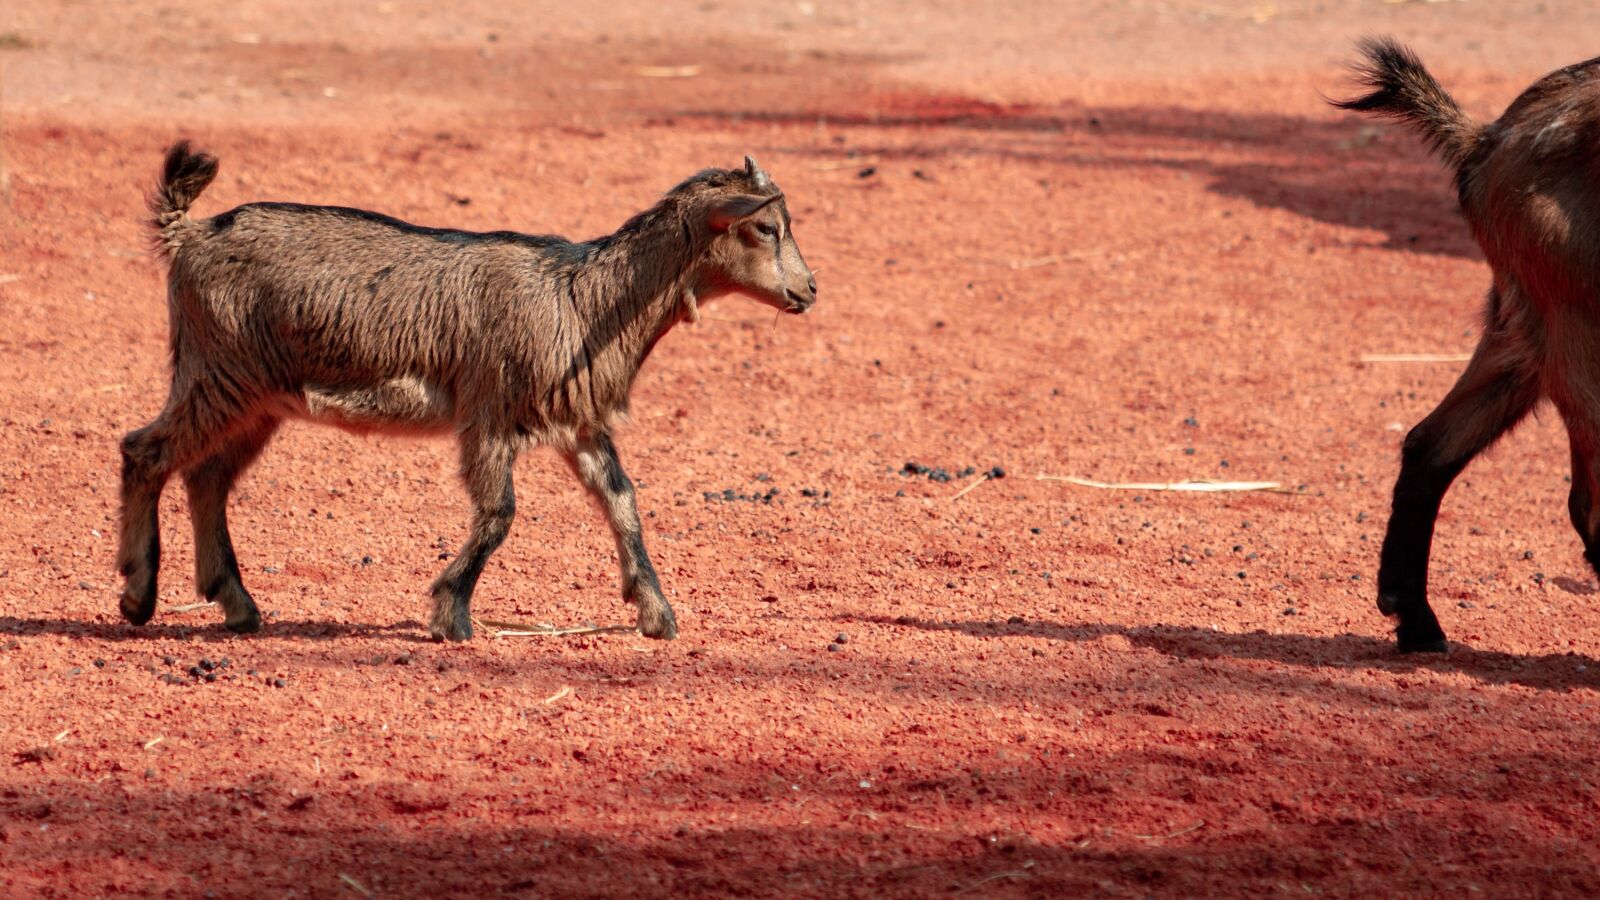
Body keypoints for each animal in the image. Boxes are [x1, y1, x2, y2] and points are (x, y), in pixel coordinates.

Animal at [117, 143, 817, 641]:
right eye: (765, 229)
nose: (809, 290)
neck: (580, 300)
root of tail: (188, 234)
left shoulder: (577, 423)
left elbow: (622, 501)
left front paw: (655, 612)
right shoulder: (489, 412)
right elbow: (500, 513)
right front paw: (450, 614)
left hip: (255, 396)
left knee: (206, 477)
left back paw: (236, 604)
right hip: (218, 372)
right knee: (143, 452)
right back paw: (137, 594)